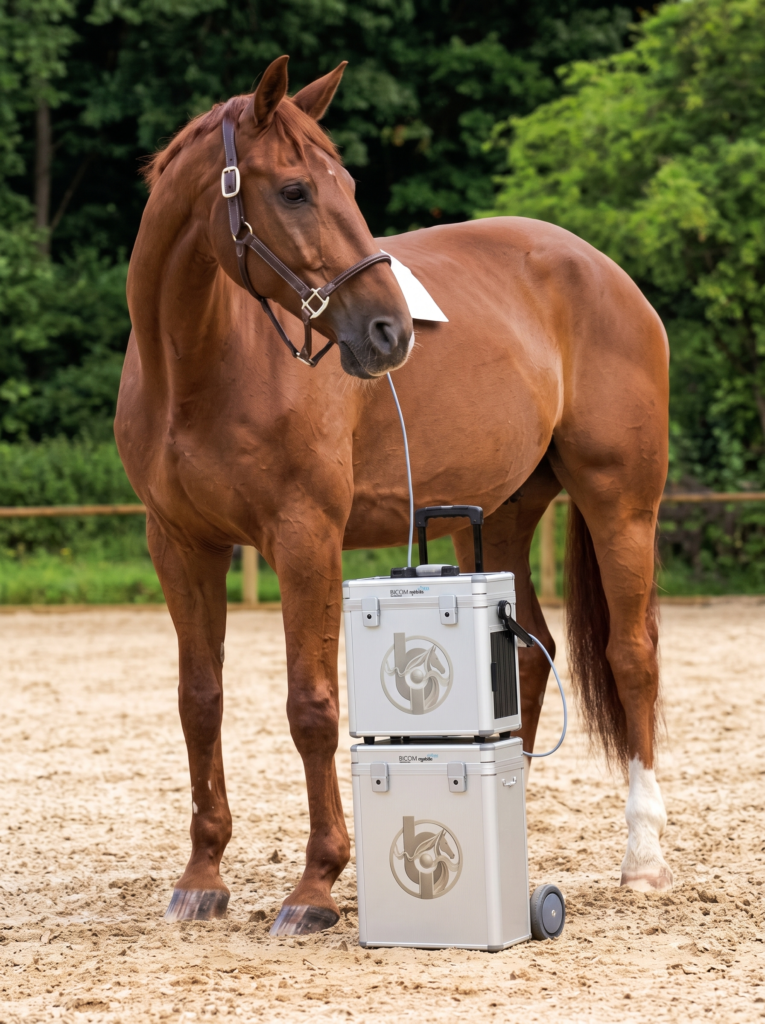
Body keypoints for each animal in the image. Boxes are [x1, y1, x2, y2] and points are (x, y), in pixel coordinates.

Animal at [116, 55, 672, 936]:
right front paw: (202, 876)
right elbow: (198, 701)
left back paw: (643, 857)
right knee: (529, 650)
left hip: (620, 503)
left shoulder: (304, 536)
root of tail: (604, 271)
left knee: (632, 657)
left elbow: (310, 706)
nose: (389, 331)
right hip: (499, 515)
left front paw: (314, 886)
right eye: (294, 191)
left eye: (345, 183)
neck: (199, 366)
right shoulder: (179, 543)